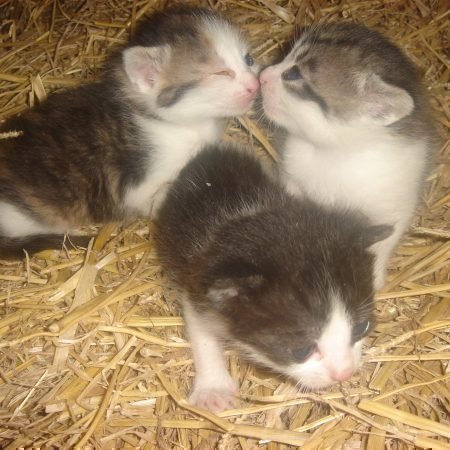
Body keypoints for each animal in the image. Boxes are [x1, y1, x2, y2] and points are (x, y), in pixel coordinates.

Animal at [156, 142, 392, 414]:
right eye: (301, 350)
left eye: (362, 327)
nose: (344, 373)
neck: (249, 219)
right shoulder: (197, 281)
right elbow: (202, 334)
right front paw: (213, 389)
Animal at [258, 22, 438, 288]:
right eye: (287, 55)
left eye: (294, 74)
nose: (262, 75)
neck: (332, 153)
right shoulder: (292, 180)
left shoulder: (393, 205)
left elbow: (384, 241)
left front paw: (374, 276)